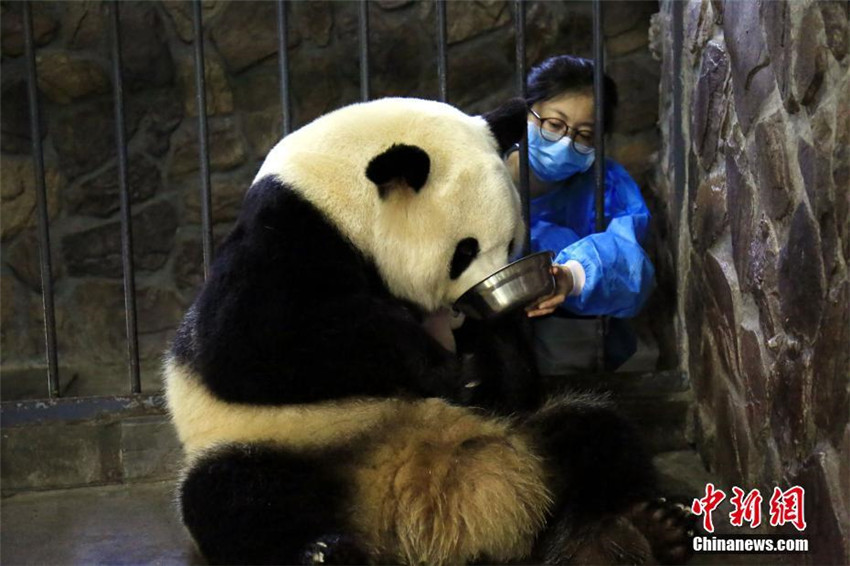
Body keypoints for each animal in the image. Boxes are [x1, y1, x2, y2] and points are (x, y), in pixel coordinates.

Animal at [164, 97, 694, 565]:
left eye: (512, 242)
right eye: (465, 249)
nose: (488, 288)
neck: (337, 196)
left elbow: (516, 387)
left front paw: (483, 355)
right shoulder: (287, 235)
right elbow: (249, 343)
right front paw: (448, 369)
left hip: (524, 435)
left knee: (594, 432)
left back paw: (642, 529)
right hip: (287, 443)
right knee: (236, 496)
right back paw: (323, 552)